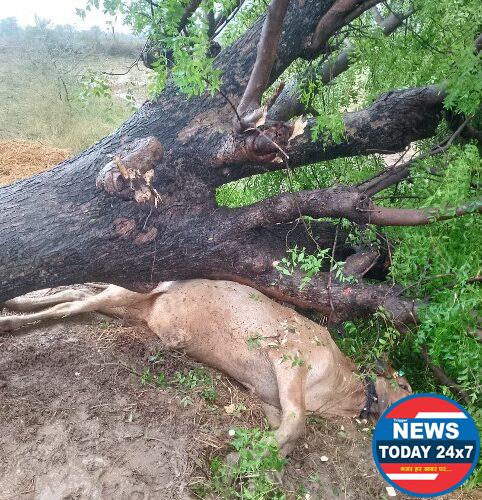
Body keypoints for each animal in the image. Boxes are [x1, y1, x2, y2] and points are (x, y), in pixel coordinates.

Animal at [0, 280, 410, 456]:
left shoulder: (268, 397)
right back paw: (11, 319)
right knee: (70, 304)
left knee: (77, 295)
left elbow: (287, 435)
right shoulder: (288, 355)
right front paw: (238, 454)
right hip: (133, 293)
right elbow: (298, 425)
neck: (339, 391)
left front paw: (262, 458)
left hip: (132, 307)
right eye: (407, 387)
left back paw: (16, 304)